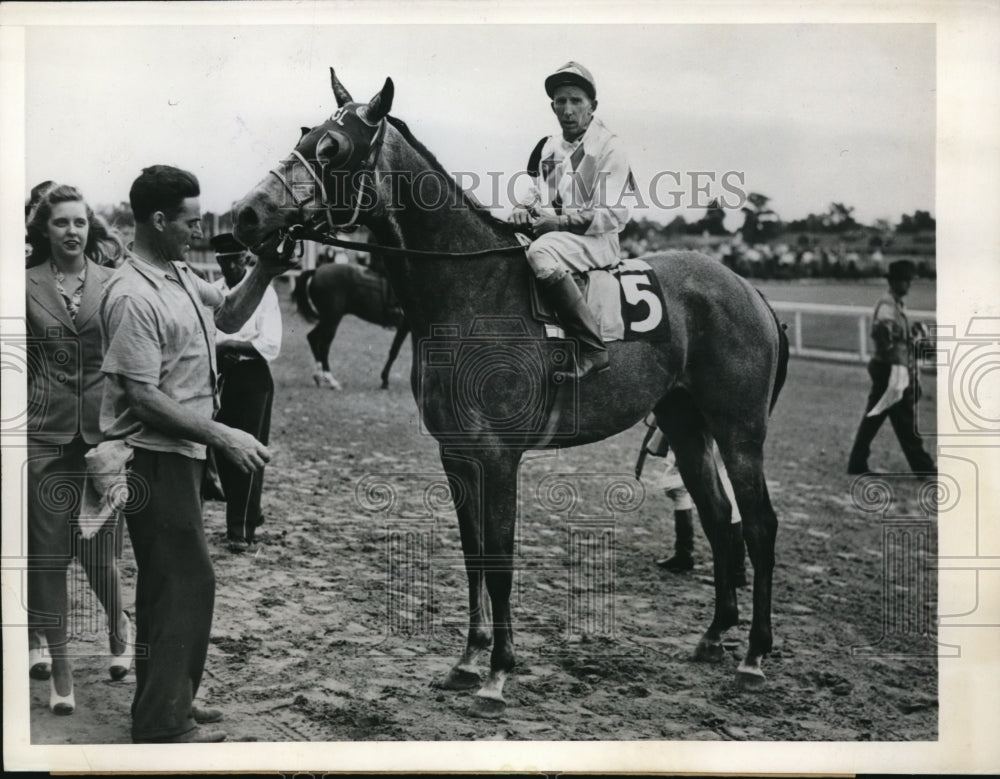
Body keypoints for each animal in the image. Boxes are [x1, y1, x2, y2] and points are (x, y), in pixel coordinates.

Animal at [234, 68, 788, 720]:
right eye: (305, 132)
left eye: (331, 148)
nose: (245, 214)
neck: (470, 290)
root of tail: (747, 289)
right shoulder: (456, 454)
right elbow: (474, 554)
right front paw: (469, 660)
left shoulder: (499, 457)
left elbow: (498, 559)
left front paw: (498, 672)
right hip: (685, 422)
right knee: (720, 518)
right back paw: (715, 635)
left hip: (739, 428)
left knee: (759, 524)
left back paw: (754, 656)